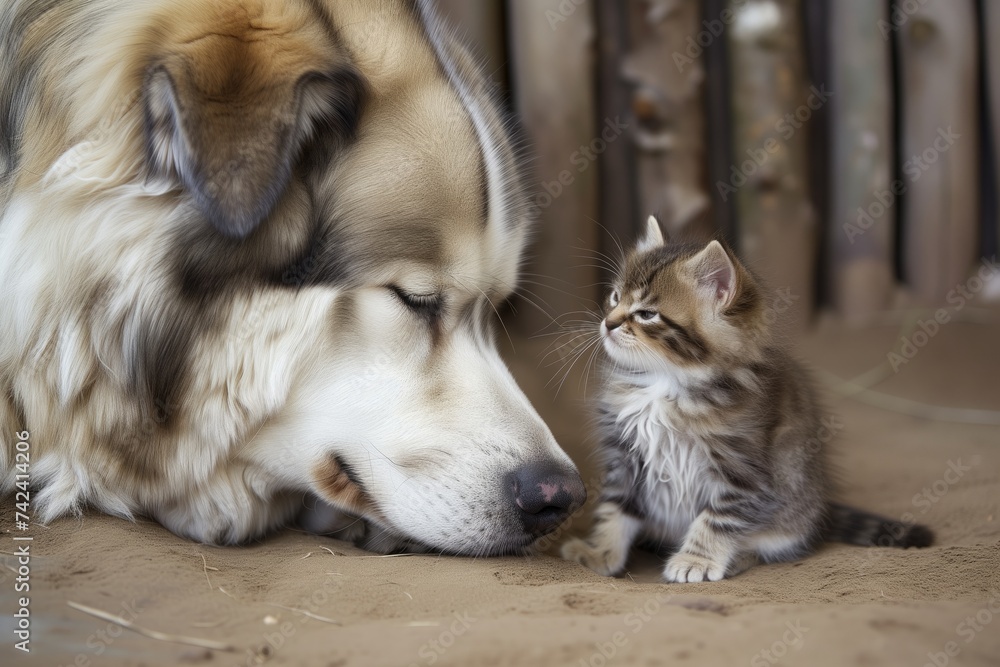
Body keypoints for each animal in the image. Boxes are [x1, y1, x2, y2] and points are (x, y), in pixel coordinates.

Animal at [560, 217, 932, 580]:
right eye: (614, 297)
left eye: (647, 313)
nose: (608, 323)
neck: (664, 383)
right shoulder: (625, 458)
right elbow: (614, 510)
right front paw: (599, 554)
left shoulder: (744, 471)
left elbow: (716, 519)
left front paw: (694, 561)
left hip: (791, 512)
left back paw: (736, 559)